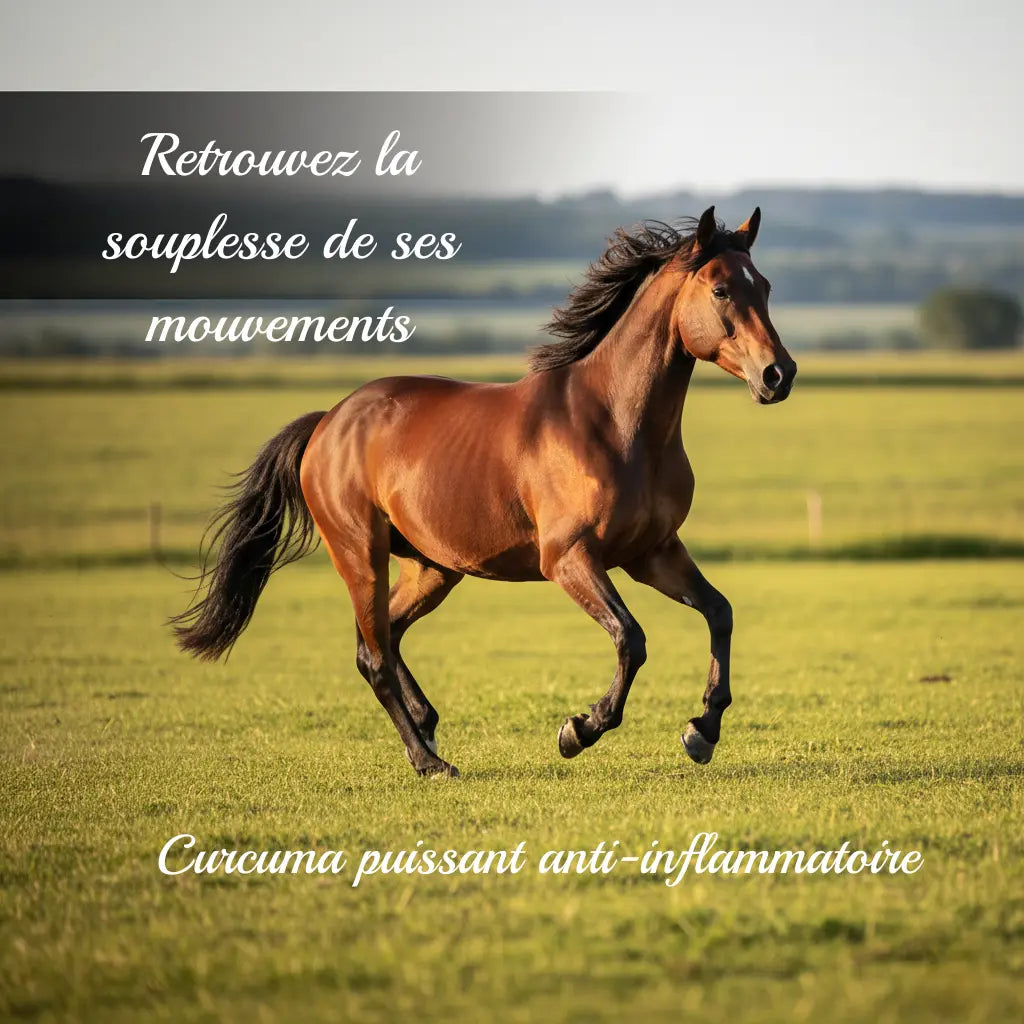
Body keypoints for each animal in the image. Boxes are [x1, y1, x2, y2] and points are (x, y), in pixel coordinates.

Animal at [171, 205, 797, 778]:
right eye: (720, 289)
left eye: (764, 286)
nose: (779, 375)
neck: (616, 424)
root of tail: (329, 422)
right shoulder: (568, 558)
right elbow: (631, 638)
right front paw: (580, 730)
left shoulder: (653, 552)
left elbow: (720, 613)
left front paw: (703, 730)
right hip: (361, 555)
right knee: (373, 655)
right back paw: (430, 761)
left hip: (432, 568)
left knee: (383, 636)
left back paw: (426, 725)